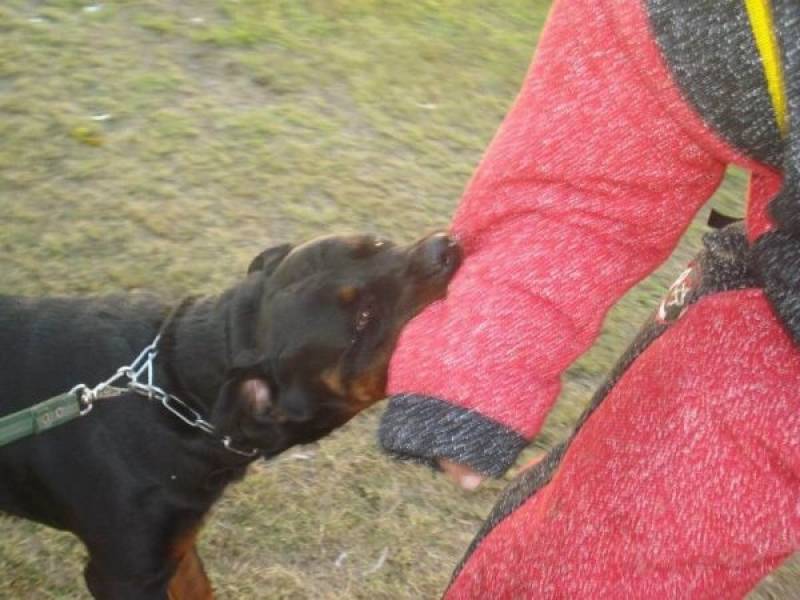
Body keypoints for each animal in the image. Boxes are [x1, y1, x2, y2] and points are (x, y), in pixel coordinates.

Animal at [0, 233, 460, 600]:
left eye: (377, 243)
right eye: (363, 321)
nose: (445, 248)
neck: (177, 390)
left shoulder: (178, 547)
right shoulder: (125, 575)